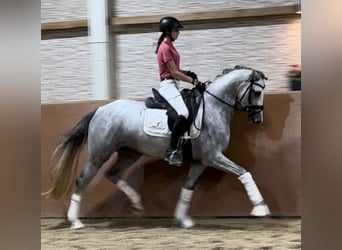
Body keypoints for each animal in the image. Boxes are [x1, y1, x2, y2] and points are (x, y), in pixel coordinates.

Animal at [43, 65, 270, 229]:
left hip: (129, 153)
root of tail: (99, 109)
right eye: (257, 91)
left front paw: (183, 220)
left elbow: (188, 187)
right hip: (99, 154)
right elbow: (244, 172)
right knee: (83, 180)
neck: (214, 108)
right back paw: (76, 222)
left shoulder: (201, 162)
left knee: (113, 174)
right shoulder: (213, 156)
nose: (257, 119)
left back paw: (136, 204)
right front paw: (260, 208)